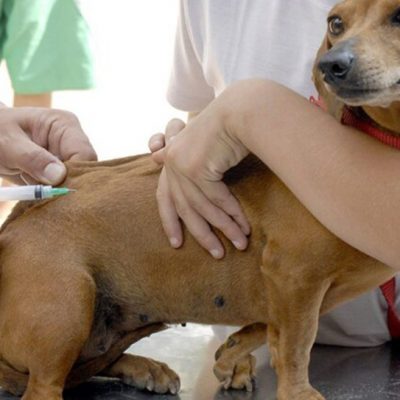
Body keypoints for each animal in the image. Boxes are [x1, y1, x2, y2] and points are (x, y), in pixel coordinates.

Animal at [0, 0, 399, 399]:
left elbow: (268, 327)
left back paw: (145, 368)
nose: (332, 65)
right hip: (70, 304)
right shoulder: (294, 276)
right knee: (48, 384)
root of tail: (17, 218)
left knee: (92, 363)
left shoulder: (307, 290)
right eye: (335, 23)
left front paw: (232, 355)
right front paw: (297, 392)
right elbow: (296, 344)